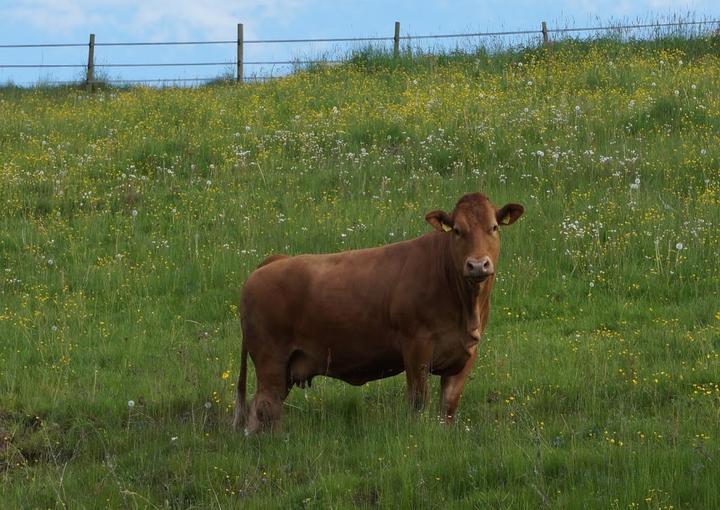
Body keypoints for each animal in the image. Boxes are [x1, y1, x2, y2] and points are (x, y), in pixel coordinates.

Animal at [235, 193, 524, 432]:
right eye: (457, 230)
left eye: (494, 227)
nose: (477, 265)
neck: (464, 305)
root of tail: (274, 261)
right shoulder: (416, 347)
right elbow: (419, 401)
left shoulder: (465, 352)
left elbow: (448, 406)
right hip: (271, 360)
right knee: (265, 408)